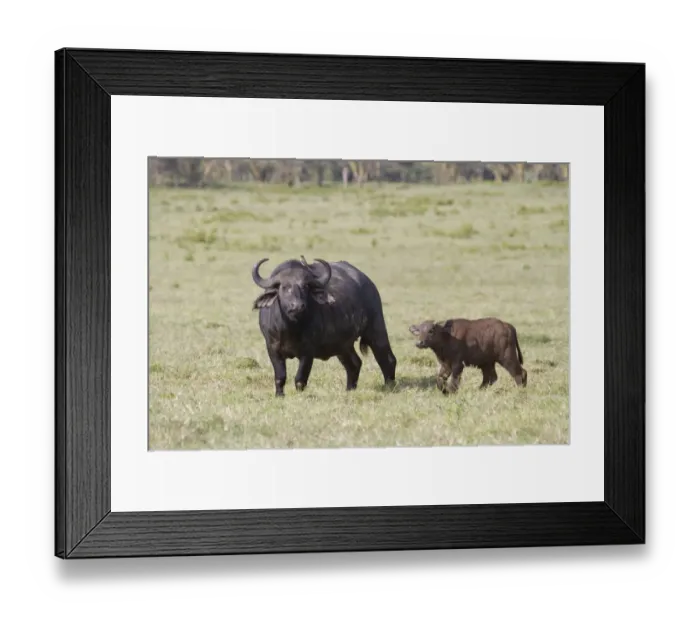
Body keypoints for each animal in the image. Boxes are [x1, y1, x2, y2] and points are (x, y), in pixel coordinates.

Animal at [251, 256, 397, 396]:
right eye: (284, 287)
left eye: (305, 286)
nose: (297, 306)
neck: (290, 328)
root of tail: (368, 283)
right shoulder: (272, 349)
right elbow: (280, 377)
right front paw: (279, 395)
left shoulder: (308, 351)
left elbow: (300, 378)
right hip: (343, 345)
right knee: (354, 364)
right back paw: (350, 389)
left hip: (376, 329)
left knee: (387, 359)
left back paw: (389, 386)